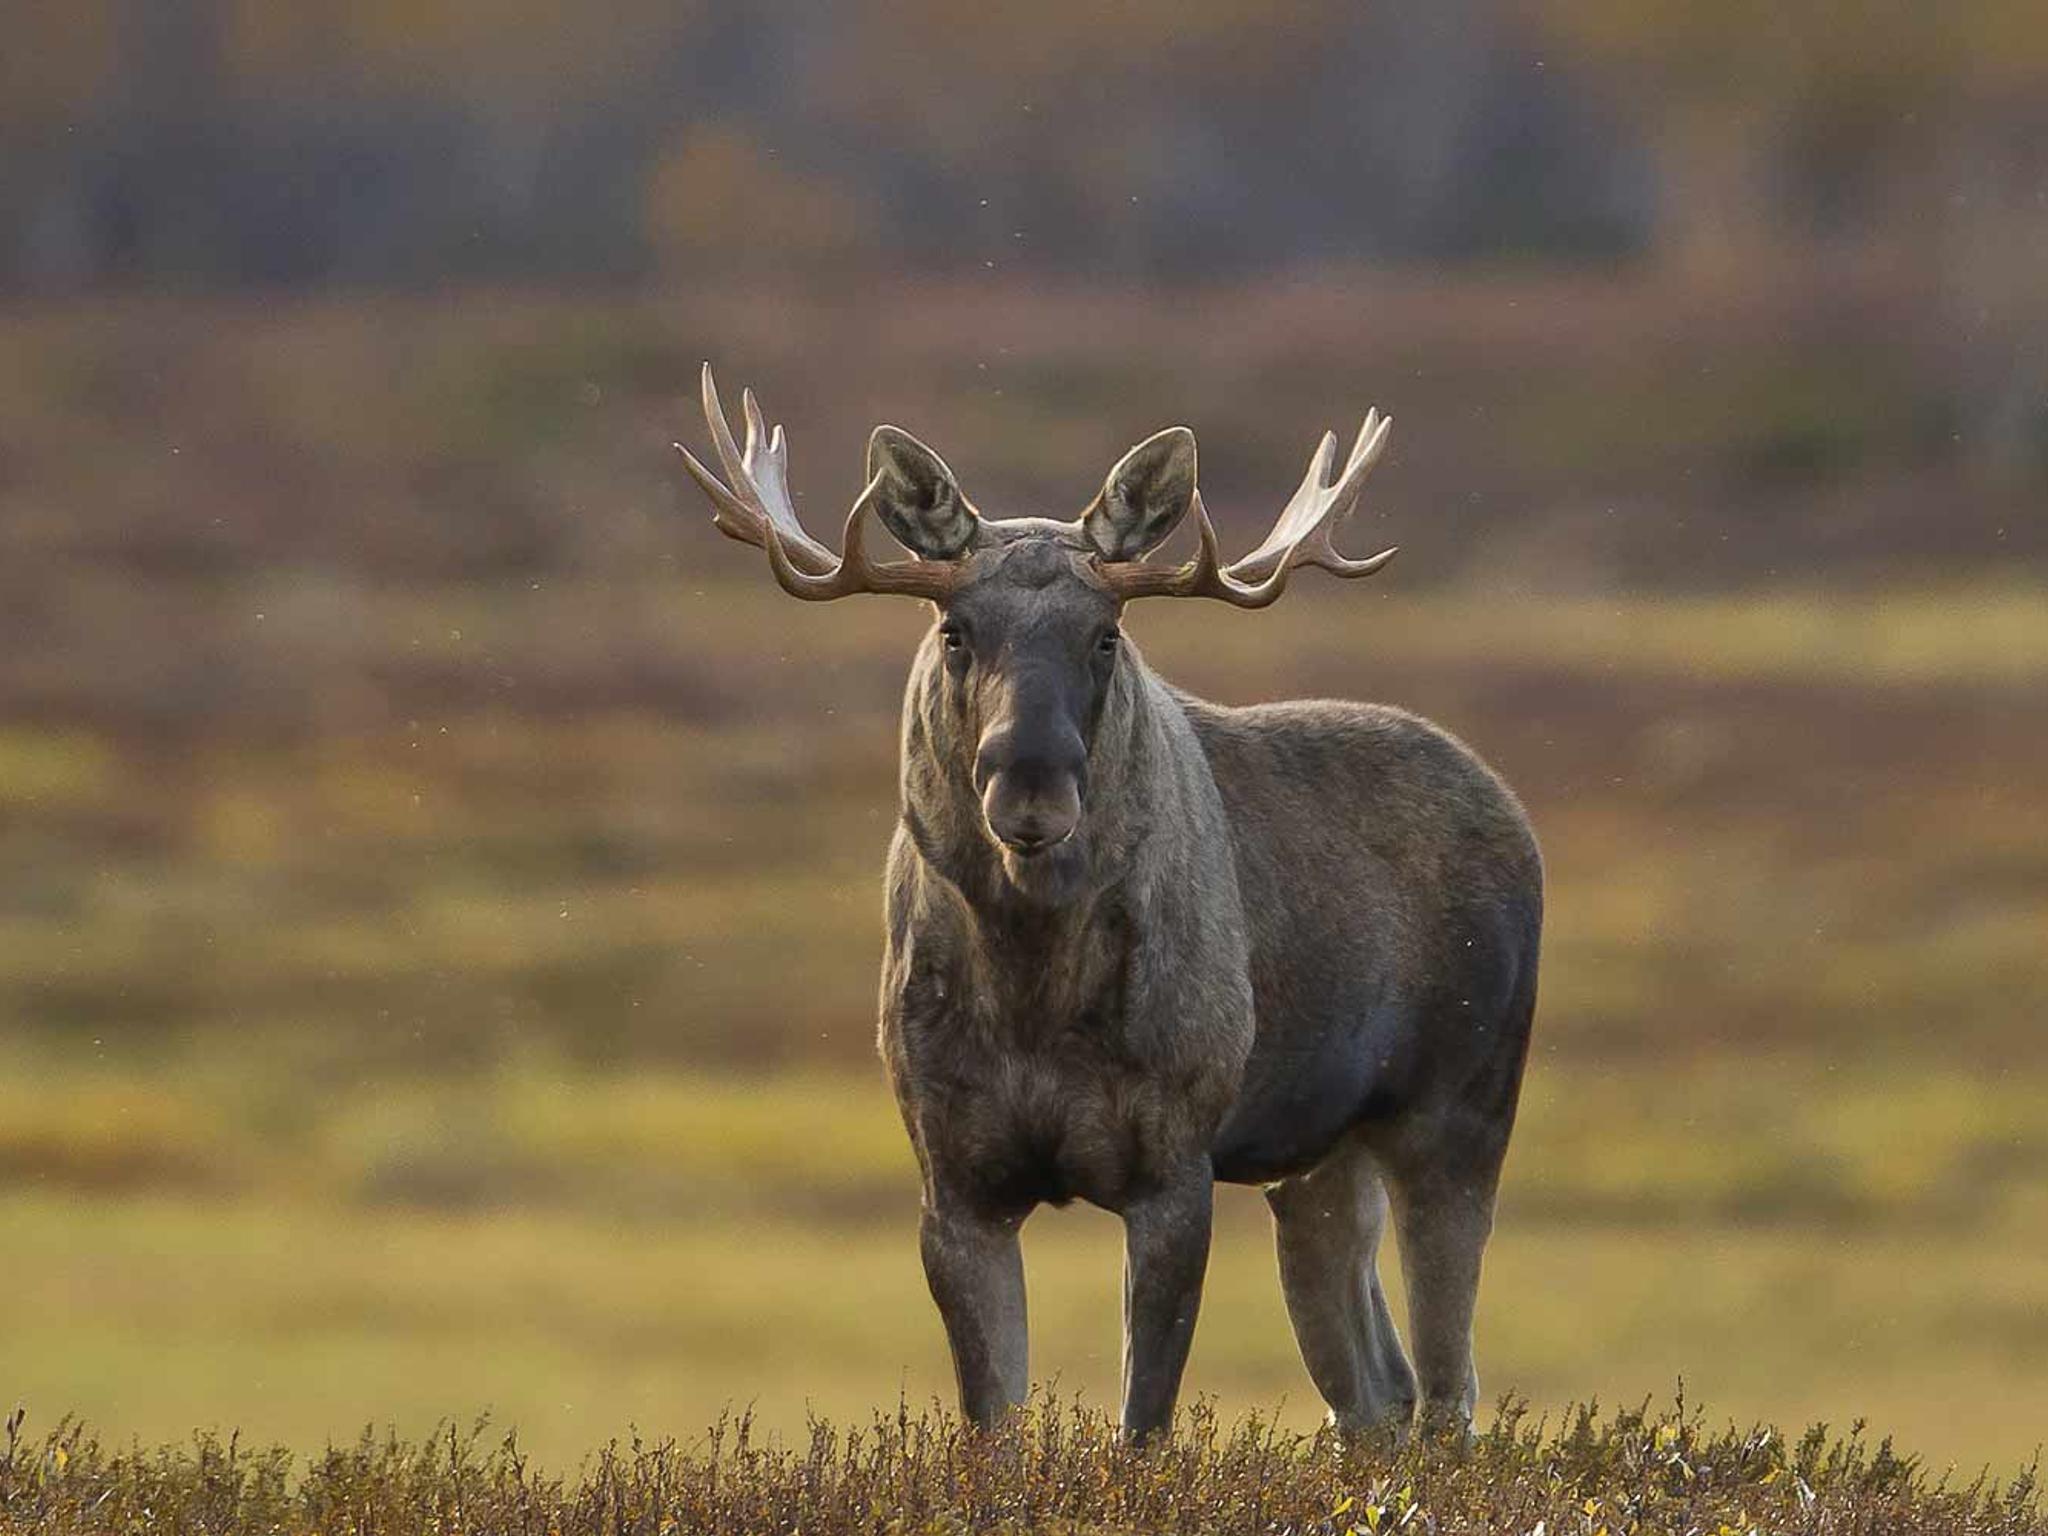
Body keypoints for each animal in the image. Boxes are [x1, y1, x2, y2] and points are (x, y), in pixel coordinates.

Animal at [675, 366, 1542, 1443]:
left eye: (1105, 634)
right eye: (954, 632)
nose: (1030, 786)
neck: (1029, 989)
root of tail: (1515, 818)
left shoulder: (1172, 1167)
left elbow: (1143, 1428)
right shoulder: (953, 1181)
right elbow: (994, 1430)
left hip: (1457, 1112)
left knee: (1447, 1393)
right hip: (1317, 1161)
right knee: (1374, 1392)